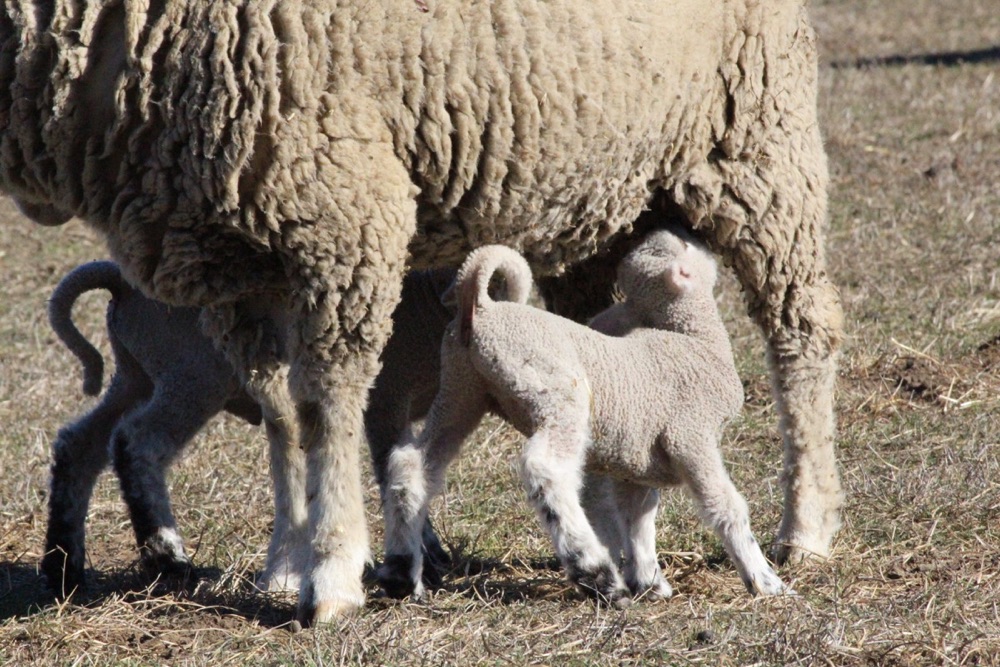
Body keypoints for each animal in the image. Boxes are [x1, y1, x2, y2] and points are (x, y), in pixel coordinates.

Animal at [43, 260, 452, 598]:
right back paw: (169, 561)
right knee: (137, 442)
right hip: (193, 374)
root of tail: (119, 280)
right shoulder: (387, 396)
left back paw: (63, 568)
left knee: (80, 445)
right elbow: (396, 472)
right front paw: (420, 561)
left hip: (137, 373)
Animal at [378, 230, 790, 602]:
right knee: (546, 470)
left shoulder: (635, 459)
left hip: (460, 391)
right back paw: (596, 573)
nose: (693, 232)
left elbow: (639, 517)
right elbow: (726, 506)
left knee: (411, 463)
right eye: (681, 245)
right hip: (556, 393)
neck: (696, 339)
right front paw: (764, 580)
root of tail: (482, 307)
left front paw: (649, 582)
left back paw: (402, 572)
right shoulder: (690, 436)